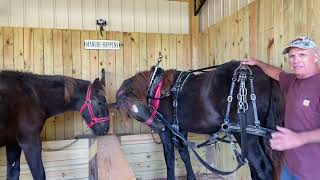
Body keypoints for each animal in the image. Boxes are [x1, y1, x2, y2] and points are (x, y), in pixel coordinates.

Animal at [113, 61, 284, 179]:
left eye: (136, 107)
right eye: (131, 111)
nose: (158, 126)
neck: (158, 89)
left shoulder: (167, 132)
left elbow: (169, 158)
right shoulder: (180, 129)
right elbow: (184, 154)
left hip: (246, 135)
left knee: (262, 167)